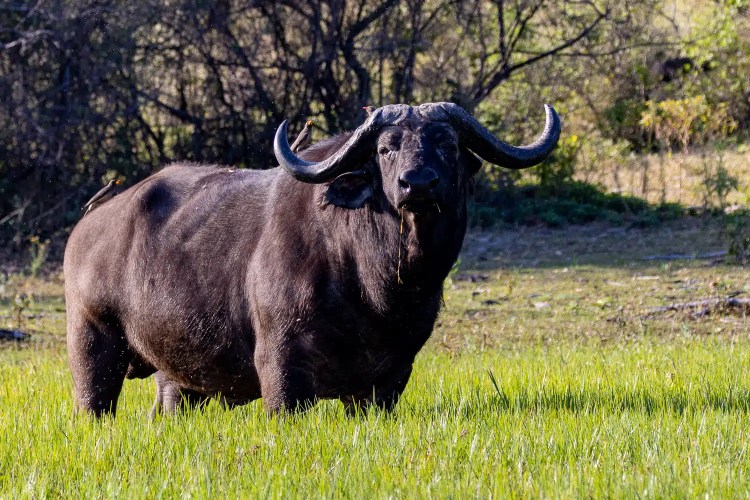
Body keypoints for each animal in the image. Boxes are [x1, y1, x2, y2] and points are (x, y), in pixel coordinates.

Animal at [64, 102, 560, 417]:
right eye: (386, 148)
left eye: (448, 145)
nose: (416, 183)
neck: (377, 288)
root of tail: (86, 229)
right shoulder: (282, 366)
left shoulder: (389, 379)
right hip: (92, 349)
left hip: (177, 381)